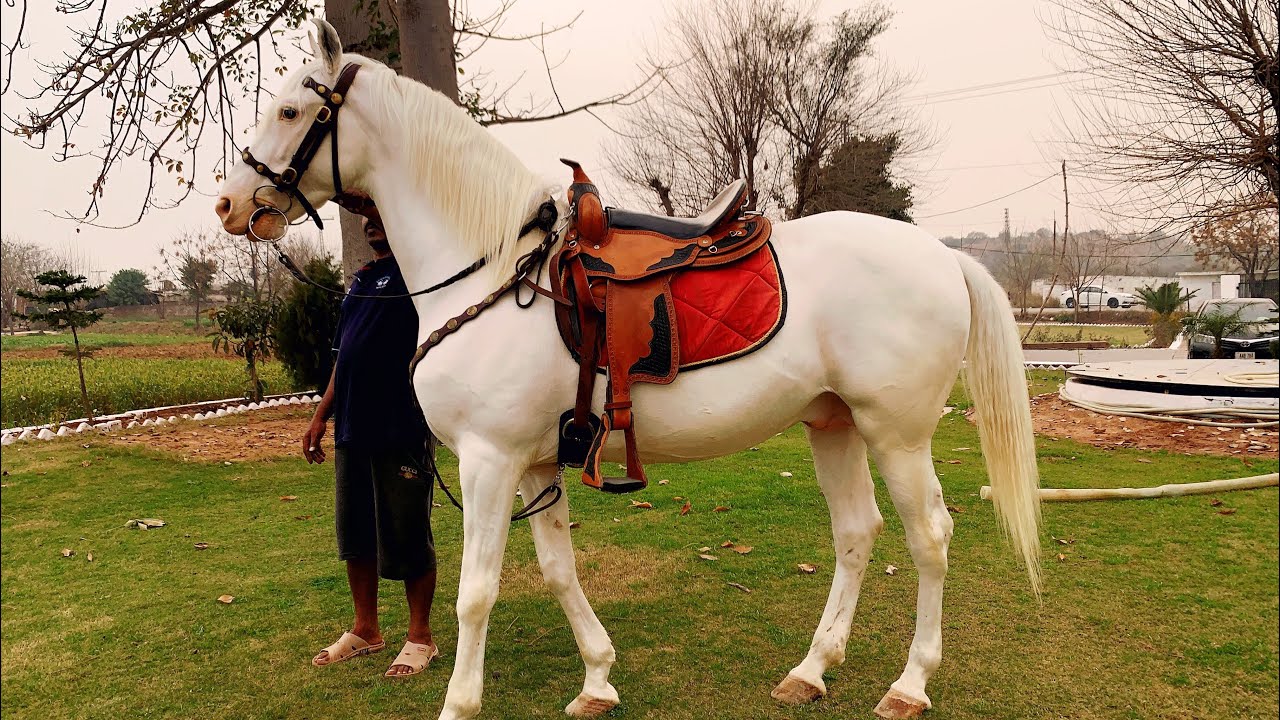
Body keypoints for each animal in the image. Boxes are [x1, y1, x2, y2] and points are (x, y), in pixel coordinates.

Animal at [215, 19, 1041, 720]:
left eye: (290, 110)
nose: (227, 202)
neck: (493, 269)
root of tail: (943, 255)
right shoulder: (534, 461)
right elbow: (558, 571)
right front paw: (598, 678)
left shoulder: (489, 461)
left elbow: (475, 592)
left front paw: (461, 702)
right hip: (832, 422)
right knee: (856, 533)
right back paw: (811, 669)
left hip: (896, 434)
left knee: (929, 538)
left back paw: (910, 683)